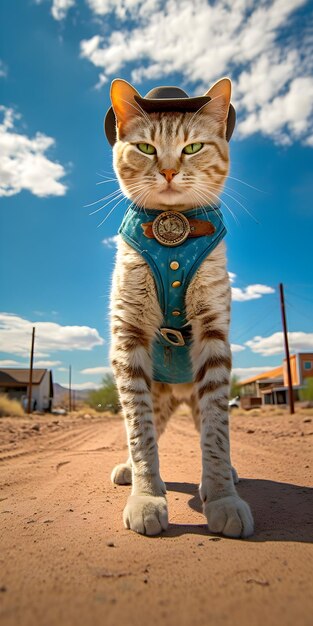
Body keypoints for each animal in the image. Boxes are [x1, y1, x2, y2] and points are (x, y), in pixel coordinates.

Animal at [106, 77, 252, 536]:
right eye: (146, 148)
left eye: (193, 147)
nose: (168, 170)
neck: (173, 244)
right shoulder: (128, 334)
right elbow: (140, 432)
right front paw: (147, 495)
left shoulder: (214, 333)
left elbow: (217, 433)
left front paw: (222, 496)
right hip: (157, 391)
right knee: (142, 421)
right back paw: (128, 469)